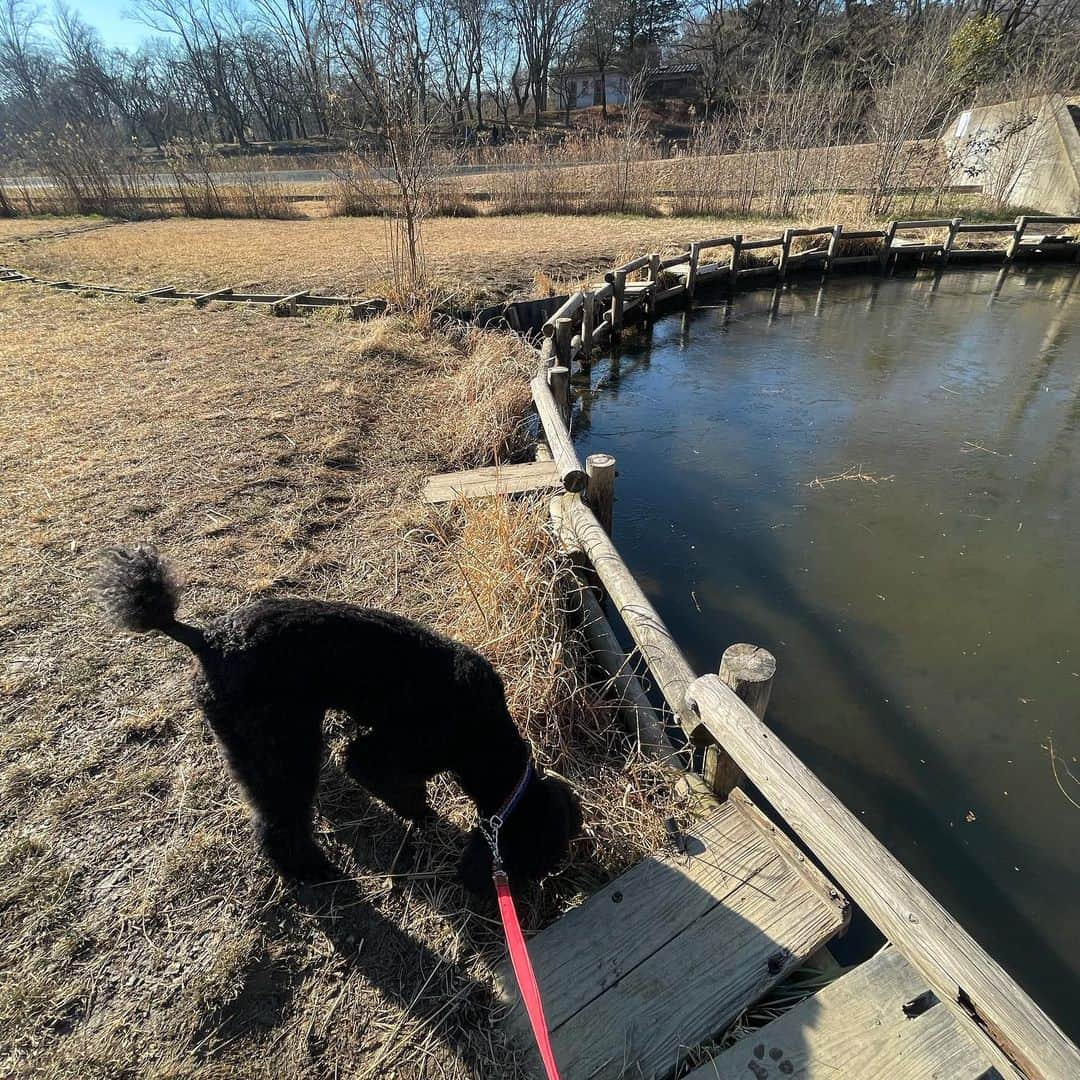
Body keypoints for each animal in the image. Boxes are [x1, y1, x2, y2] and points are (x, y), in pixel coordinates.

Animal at [93, 544, 583, 889]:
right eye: (539, 859)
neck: (483, 734)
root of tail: (204, 639)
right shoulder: (389, 751)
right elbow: (394, 784)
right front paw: (423, 815)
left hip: (260, 741)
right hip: (279, 740)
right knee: (277, 821)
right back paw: (310, 870)